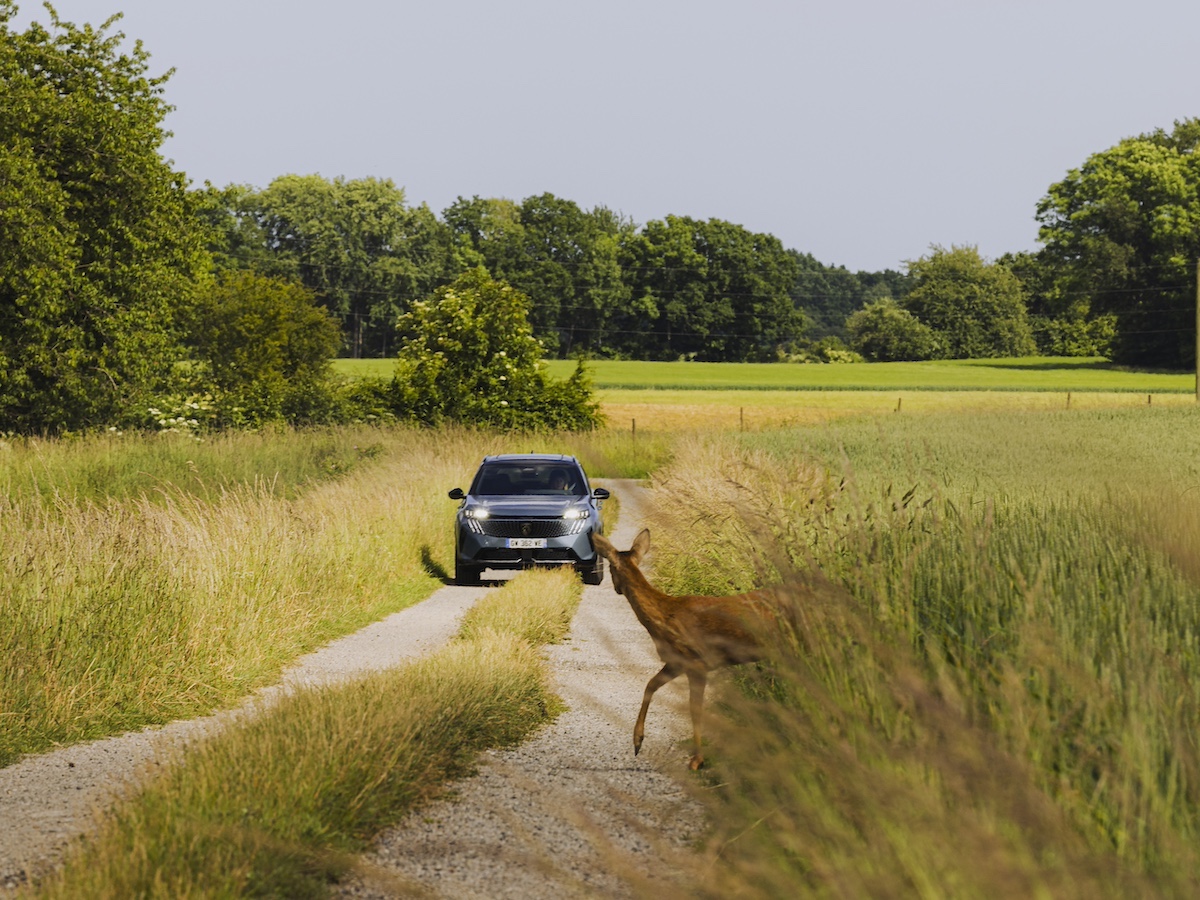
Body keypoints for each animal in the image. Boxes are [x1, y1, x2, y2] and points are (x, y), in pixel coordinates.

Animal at [590, 532, 777, 772]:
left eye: (610, 568)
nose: (616, 588)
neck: (664, 614)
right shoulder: (676, 662)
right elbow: (650, 685)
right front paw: (637, 742)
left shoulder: (697, 662)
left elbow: (694, 708)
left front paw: (697, 759)